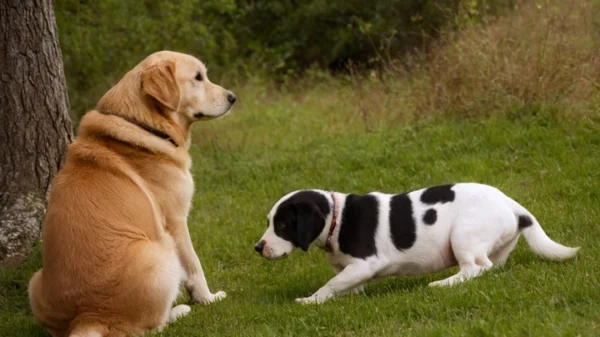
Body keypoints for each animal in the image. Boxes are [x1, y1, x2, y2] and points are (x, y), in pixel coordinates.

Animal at [255, 182, 580, 304]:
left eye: (281, 225)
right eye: (269, 221)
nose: (258, 248)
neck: (337, 217)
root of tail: (513, 206)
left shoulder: (366, 264)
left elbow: (331, 285)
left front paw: (310, 300)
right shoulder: (351, 271)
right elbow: (342, 285)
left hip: (463, 235)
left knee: (474, 268)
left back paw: (442, 284)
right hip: (496, 246)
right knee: (490, 267)